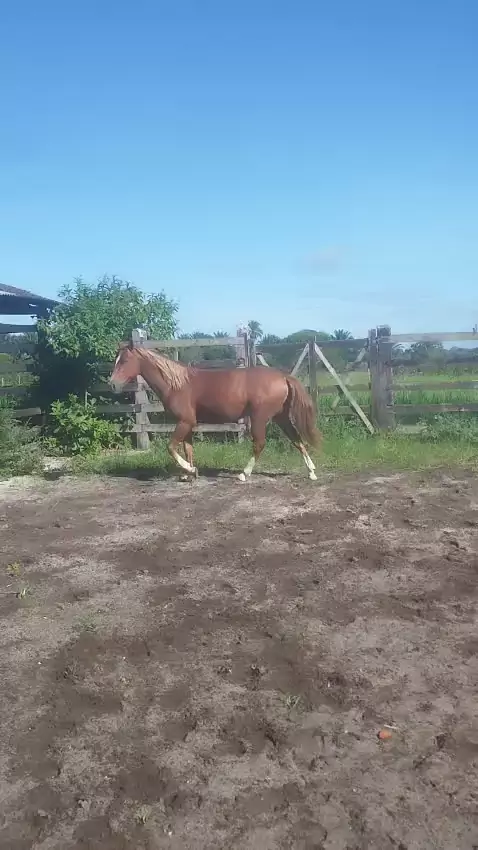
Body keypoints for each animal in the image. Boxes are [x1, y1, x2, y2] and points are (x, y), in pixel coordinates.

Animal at [110, 344, 321, 481]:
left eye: (125, 361)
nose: (112, 384)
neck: (177, 384)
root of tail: (283, 377)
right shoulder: (188, 424)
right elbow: (188, 449)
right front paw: (190, 474)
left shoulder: (184, 421)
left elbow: (171, 447)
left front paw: (190, 469)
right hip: (281, 417)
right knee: (297, 440)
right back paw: (311, 472)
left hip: (259, 418)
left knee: (260, 444)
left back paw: (243, 474)